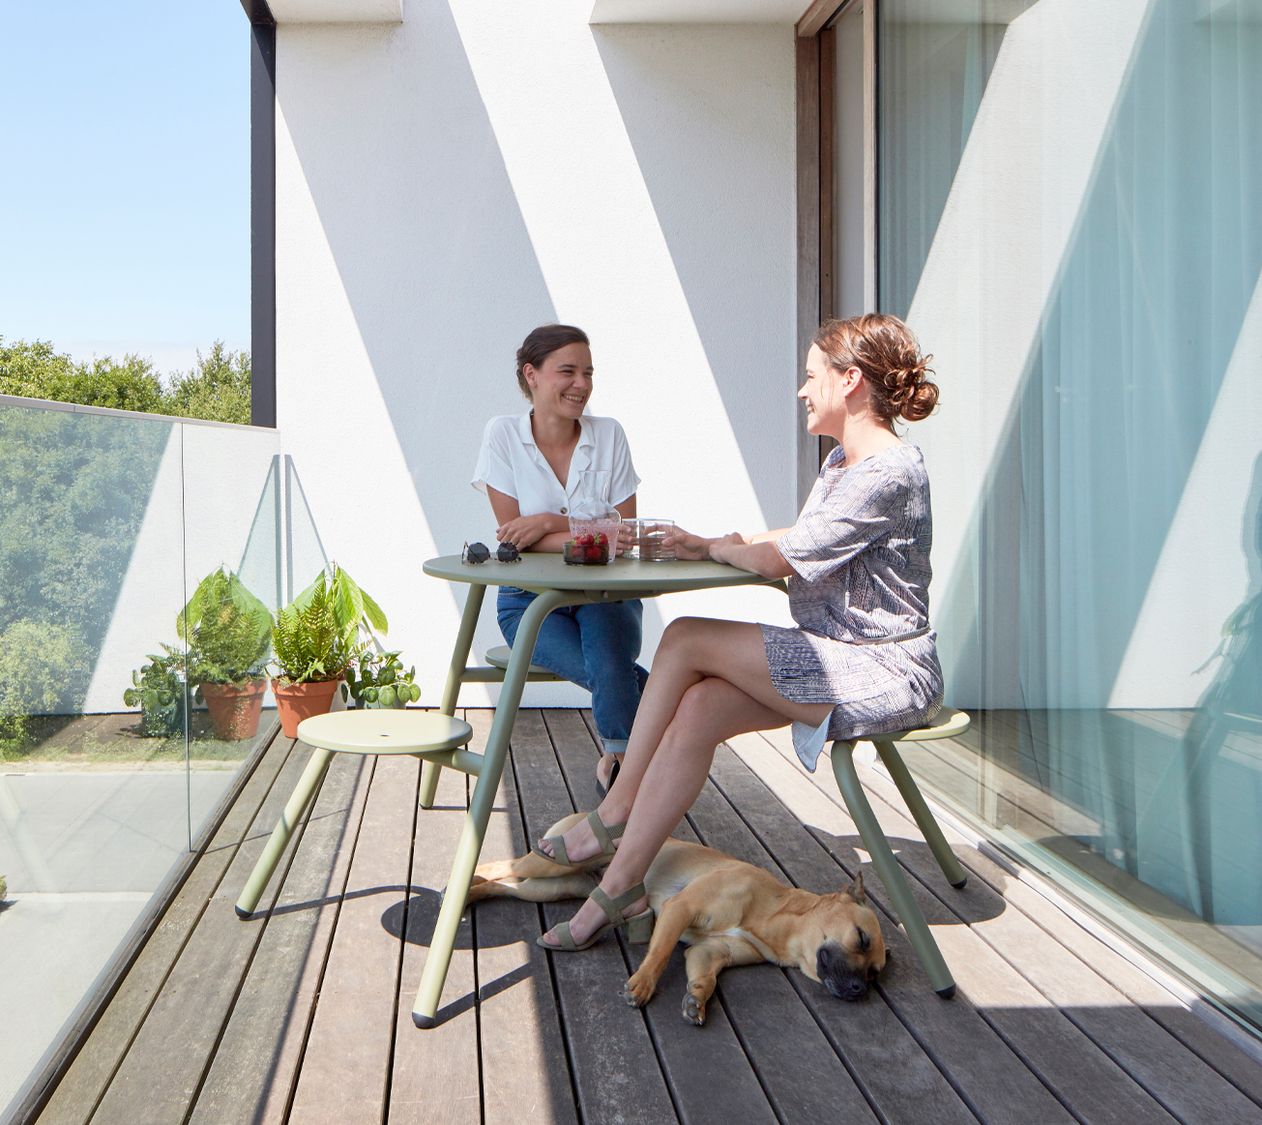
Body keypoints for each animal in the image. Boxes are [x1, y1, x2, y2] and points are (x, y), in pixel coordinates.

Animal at [466, 813, 888, 1025]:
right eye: (861, 938)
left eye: (874, 973)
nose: (859, 990)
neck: (774, 915)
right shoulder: (680, 910)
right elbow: (660, 952)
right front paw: (642, 985)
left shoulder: (709, 954)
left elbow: (704, 978)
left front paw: (696, 1000)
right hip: (551, 865)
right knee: (499, 865)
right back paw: (466, 881)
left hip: (554, 887)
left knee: (506, 884)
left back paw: (473, 892)